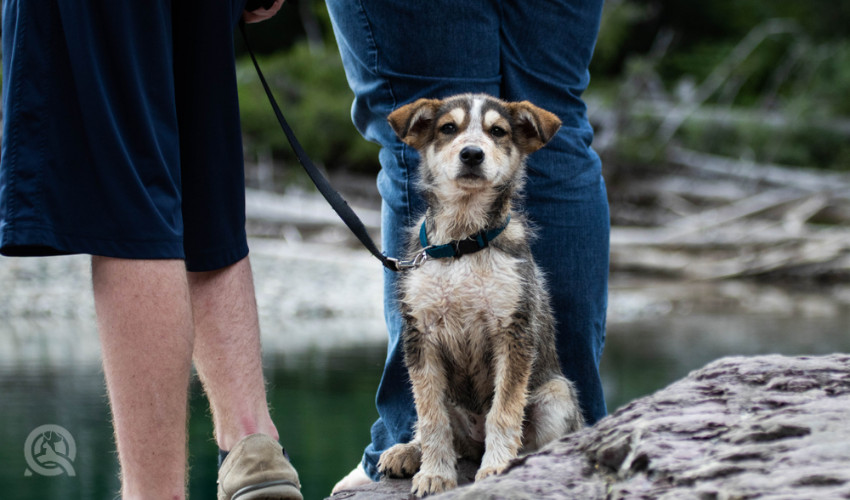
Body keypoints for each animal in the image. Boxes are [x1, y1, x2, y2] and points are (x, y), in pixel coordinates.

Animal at [378, 94, 584, 496]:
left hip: (557, 394)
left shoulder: (513, 333)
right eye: (448, 128)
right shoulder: (420, 338)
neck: (462, 244)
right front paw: (435, 474)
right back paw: (408, 452)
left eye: (498, 131)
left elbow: (503, 411)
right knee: (438, 429)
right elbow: (431, 418)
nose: (472, 154)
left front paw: (497, 468)